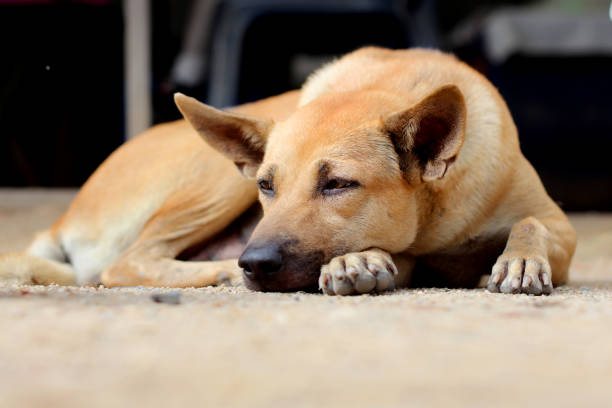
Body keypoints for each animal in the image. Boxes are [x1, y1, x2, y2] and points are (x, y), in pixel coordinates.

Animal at [0, 47, 576, 294]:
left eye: (338, 184)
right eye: (266, 185)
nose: (255, 264)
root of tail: (66, 217)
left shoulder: (558, 225)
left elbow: (532, 223)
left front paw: (521, 261)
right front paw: (360, 261)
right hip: (214, 183)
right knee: (126, 262)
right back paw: (220, 270)